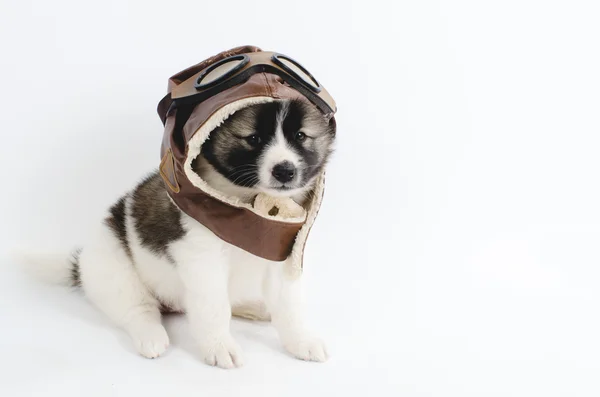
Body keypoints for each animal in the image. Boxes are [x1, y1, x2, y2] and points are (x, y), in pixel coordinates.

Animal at [25, 99, 336, 368]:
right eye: (254, 139)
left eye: (301, 136)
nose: (285, 171)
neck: (250, 205)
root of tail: (80, 264)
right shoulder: (201, 259)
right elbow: (213, 307)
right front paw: (220, 345)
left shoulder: (283, 254)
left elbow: (288, 305)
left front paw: (300, 340)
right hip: (114, 269)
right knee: (138, 308)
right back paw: (151, 336)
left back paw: (254, 308)